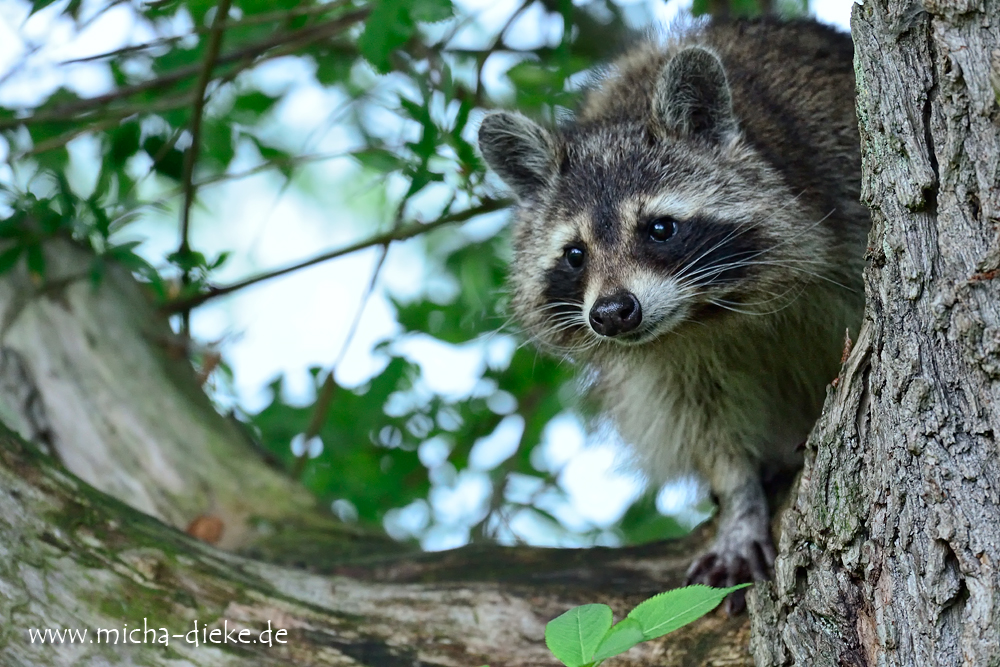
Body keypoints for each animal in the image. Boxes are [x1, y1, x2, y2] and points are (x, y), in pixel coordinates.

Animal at [476, 19, 868, 604]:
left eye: (660, 228)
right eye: (575, 255)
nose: (613, 313)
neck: (708, 312)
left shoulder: (842, 195)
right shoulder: (671, 369)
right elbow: (708, 428)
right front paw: (739, 498)